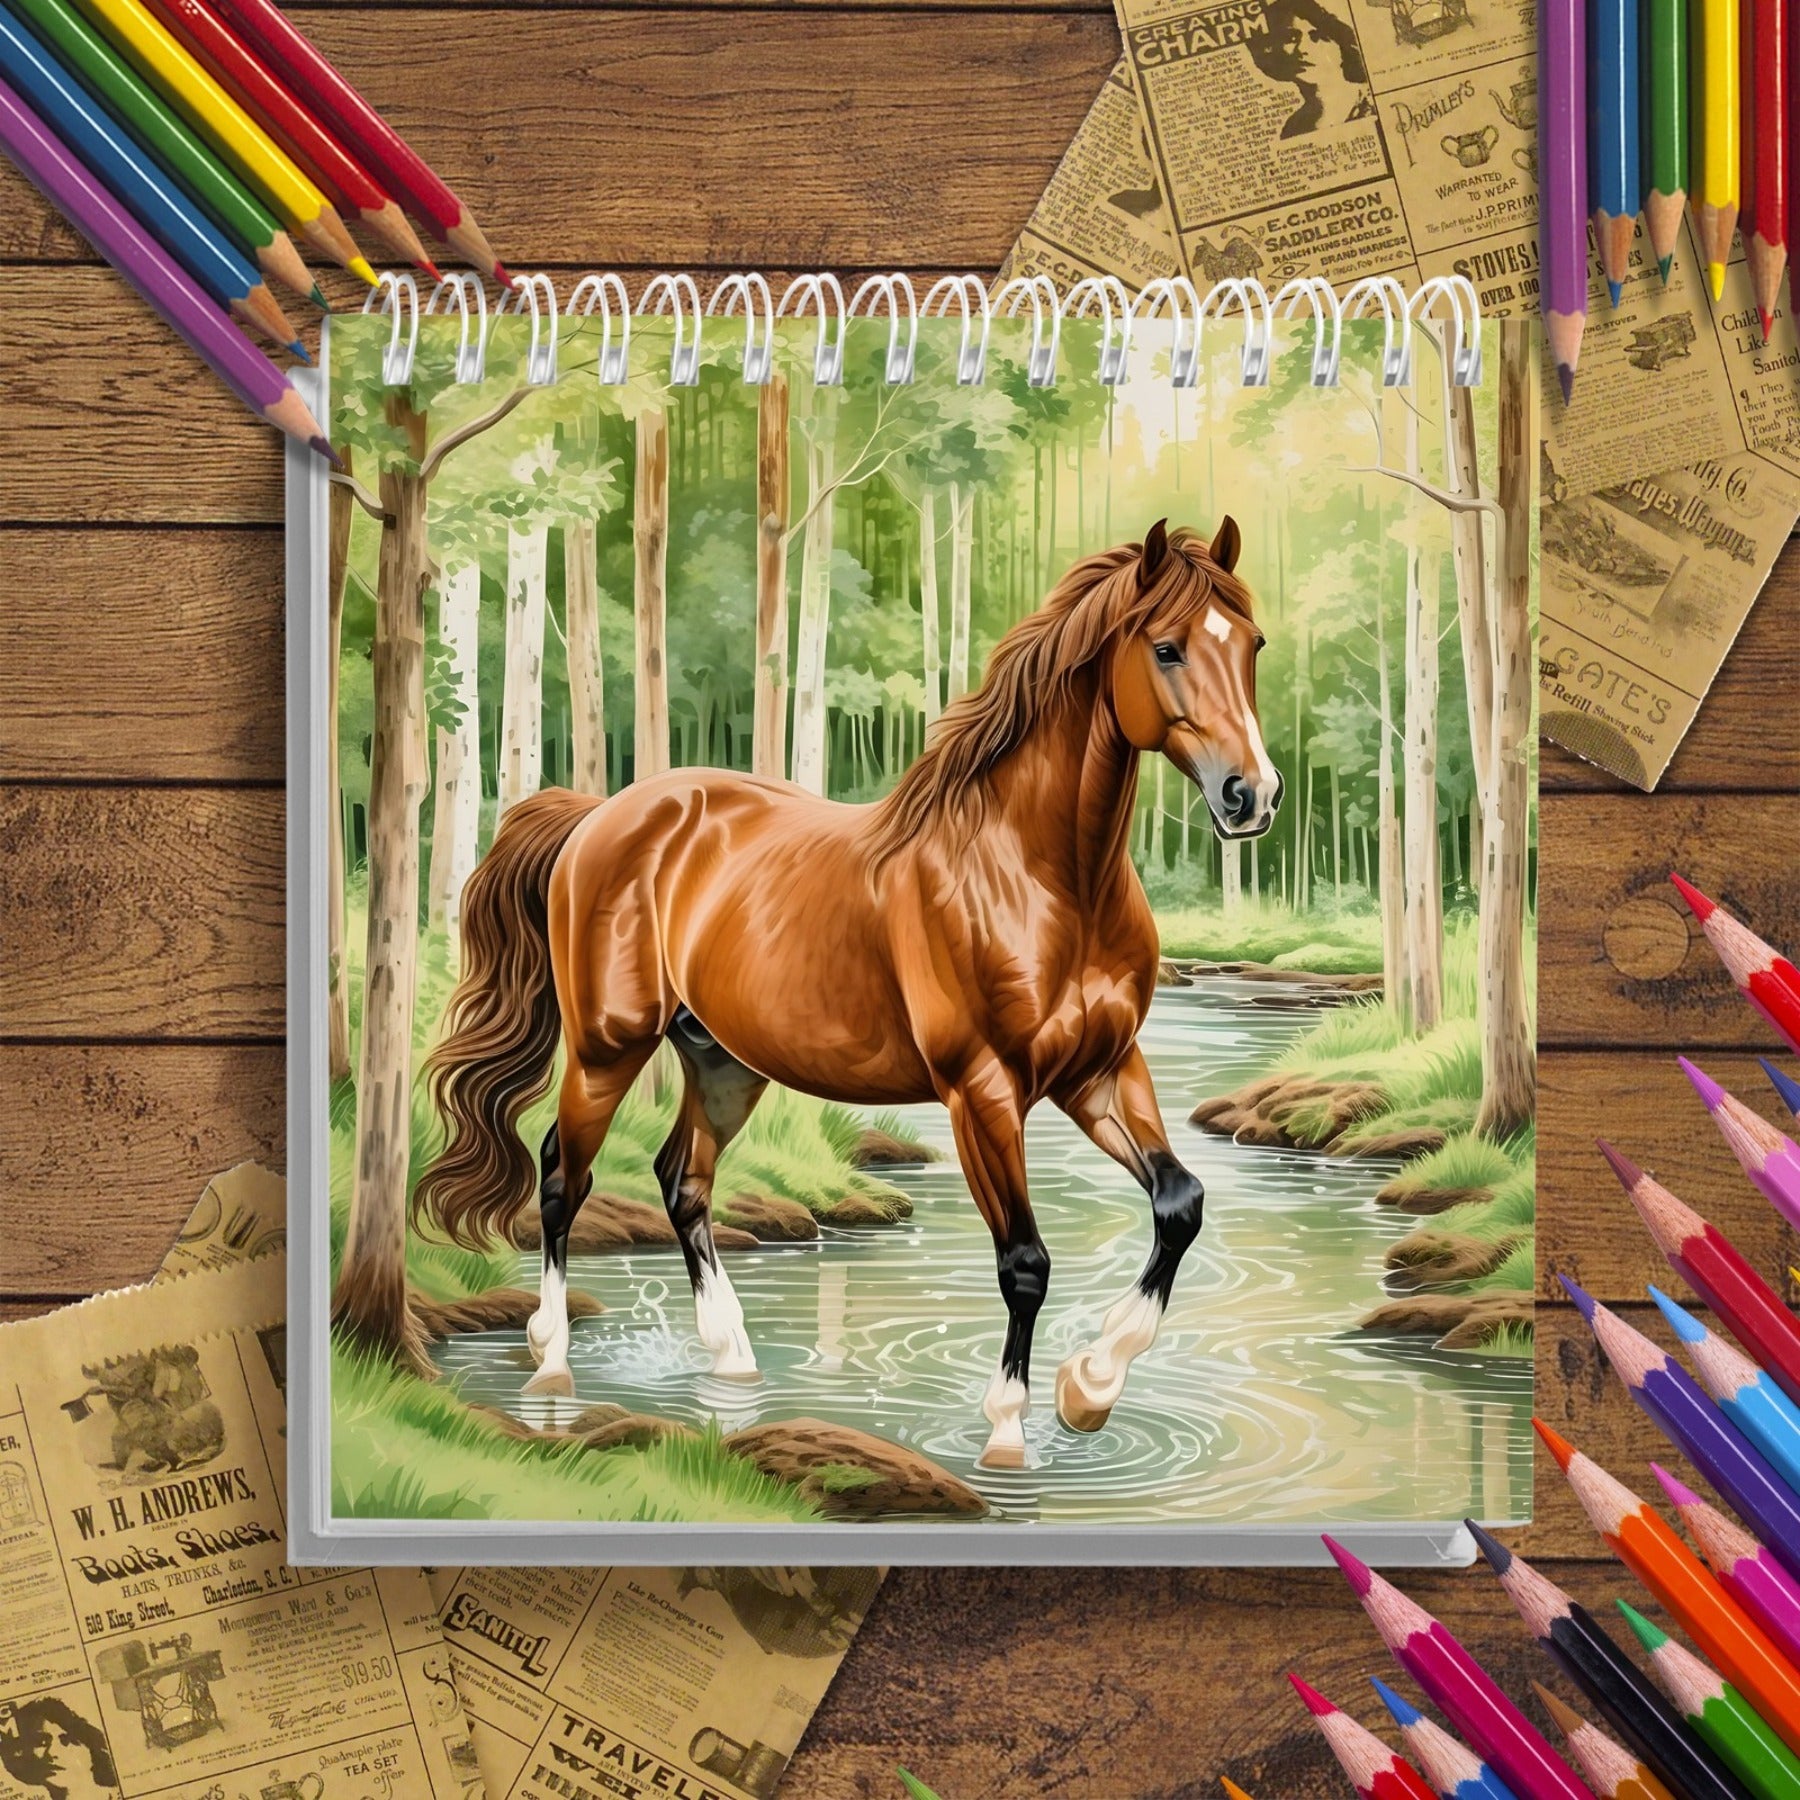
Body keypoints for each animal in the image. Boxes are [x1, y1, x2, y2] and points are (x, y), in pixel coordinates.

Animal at [415, 518, 1281, 1470]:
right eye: (1166, 648)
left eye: (1253, 646)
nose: (1252, 797)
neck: (1040, 880)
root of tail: (599, 816)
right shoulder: (983, 1093)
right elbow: (1025, 1261)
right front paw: (1009, 1430)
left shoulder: (1101, 1072)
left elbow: (1180, 1204)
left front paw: (1089, 1388)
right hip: (609, 1047)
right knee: (564, 1176)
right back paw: (552, 1365)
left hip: (723, 1061)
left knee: (682, 1180)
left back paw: (733, 1358)